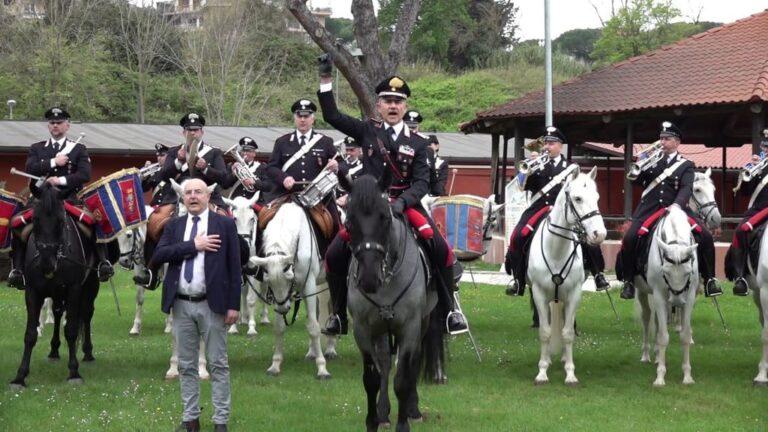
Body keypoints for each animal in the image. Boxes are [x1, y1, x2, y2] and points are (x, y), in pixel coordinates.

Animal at [9, 183, 99, 388]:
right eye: (35, 219)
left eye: (60, 220)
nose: (47, 264)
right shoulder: (32, 291)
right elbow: (30, 334)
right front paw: (20, 376)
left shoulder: (74, 289)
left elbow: (72, 330)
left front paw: (74, 372)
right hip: (57, 292)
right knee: (58, 315)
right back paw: (54, 350)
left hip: (90, 286)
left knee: (87, 314)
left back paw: (88, 352)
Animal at [252, 201, 336, 376]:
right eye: (270, 282)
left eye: (288, 278)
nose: (284, 309)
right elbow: (279, 327)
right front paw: (275, 364)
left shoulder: (309, 285)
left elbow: (313, 327)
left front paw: (322, 368)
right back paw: (311, 352)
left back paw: (330, 349)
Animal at [344, 176, 444, 432]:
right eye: (349, 221)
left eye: (385, 218)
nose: (369, 278)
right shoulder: (363, 330)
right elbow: (372, 378)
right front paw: (373, 421)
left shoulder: (409, 327)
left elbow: (403, 379)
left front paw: (404, 423)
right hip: (381, 329)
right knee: (385, 363)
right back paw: (383, 413)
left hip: (422, 322)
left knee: (413, 363)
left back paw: (413, 409)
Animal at [528, 167, 608, 386]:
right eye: (578, 198)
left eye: (597, 198)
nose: (599, 234)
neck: (556, 251)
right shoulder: (539, 294)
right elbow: (545, 332)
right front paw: (542, 372)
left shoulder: (574, 295)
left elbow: (568, 333)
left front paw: (570, 373)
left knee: (566, 323)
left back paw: (564, 357)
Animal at [632, 204, 700, 386]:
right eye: (666, 272)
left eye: (688, 272)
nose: (676, 301)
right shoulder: (660, 295)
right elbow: (663, 336)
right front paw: (660, 377)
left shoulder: (689, 297)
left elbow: (685, 335)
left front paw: (687, 376)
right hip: (643, 292)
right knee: (647, 318)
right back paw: (646, 355)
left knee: (656, 320)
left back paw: (656, 356)